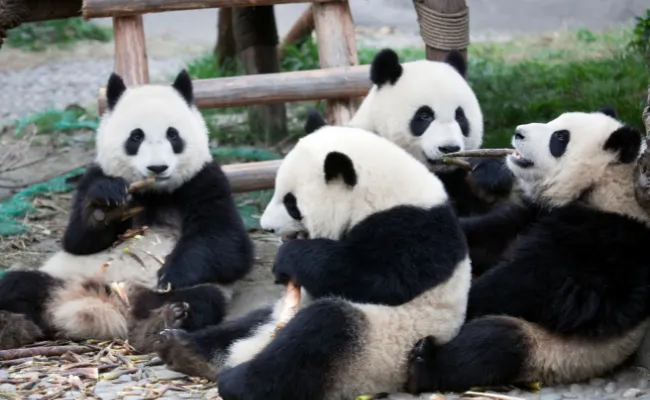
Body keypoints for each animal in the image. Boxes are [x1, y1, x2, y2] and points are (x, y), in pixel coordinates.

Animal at [0, 70, 254, 351]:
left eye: (173, 135)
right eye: (136, 136)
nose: (157, 167)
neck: (154, 191)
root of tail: (102, 303)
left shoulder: (204, 181)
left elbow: (228, 246)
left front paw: (171, 274)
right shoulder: (93, 176)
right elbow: (76, 240)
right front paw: (103, 207)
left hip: (165, 293)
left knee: (201, 299)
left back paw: (165, 321)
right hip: (61, 275)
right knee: (16, 284)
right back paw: (11, 326)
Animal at [150, 124, 472, 400]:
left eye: (291, 203)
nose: (267, 227)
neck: (383, 192)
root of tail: (253, 348)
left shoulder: (415, 227)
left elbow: (380, 278)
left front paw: (289, 259)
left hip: (383, 348)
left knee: (319, 332)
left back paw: (237, 382)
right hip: (278, 316)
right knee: (240, 327)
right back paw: (180, 344)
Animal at [404, 109, 650, 394]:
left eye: (560, 138)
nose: (519, 132)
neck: (604, 188)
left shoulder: (608, 241)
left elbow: (538, 286)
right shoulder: (534, 214)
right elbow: (488, 236)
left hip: (554, 352)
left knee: (494, 343)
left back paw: (423, 365)